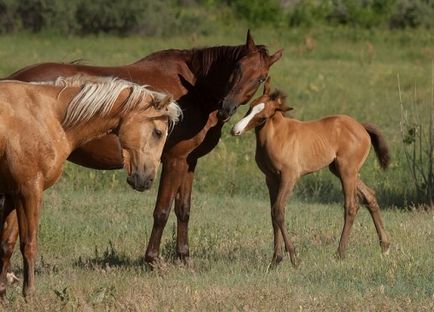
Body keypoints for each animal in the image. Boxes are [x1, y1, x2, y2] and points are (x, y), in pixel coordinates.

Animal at [0, 76, 181, 298]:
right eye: (158, 132)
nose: (146, 180)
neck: (48, 116)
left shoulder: (13, 194)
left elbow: (6, 245)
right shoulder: (29, 191)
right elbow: (29, 244)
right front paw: (29, 293)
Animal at [5, 31, 284, 264]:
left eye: (260, 78)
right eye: (237, 67)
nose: (226, 107)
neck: (195, 90)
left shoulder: (189, 161)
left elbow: (183, 209)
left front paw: (183, 257)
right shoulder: (173, 160)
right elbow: (162, 210)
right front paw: (152, 259)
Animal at [232, 77, 392, 266]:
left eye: (263, 116)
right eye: (251, 105)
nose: (235, 130)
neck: (277, 136)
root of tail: (361, 126)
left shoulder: (289, 177)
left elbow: (278, 211)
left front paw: (294, 258)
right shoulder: (270, 179)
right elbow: (272, 214)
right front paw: (275, 260)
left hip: (347, 171)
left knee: (351, 206)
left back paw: (340, 253)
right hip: (340, 170)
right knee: (370, 196)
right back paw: (385, 246)